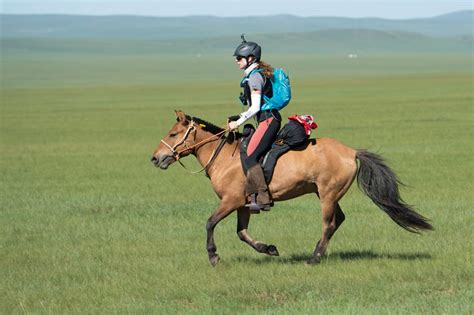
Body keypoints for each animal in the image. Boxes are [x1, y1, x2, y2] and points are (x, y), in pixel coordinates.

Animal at [152, 111, 434, 266]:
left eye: (174, 134)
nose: (155, 158)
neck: (225, 157)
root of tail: (351, 151)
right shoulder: (244, 204)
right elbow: (242, 233)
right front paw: (269, 249)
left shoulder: (230, 201)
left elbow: (210, 223)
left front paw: (213, 257)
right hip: (327, 193)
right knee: (339, 220)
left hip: (327, 195)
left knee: (329, 223)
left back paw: (314, 257)